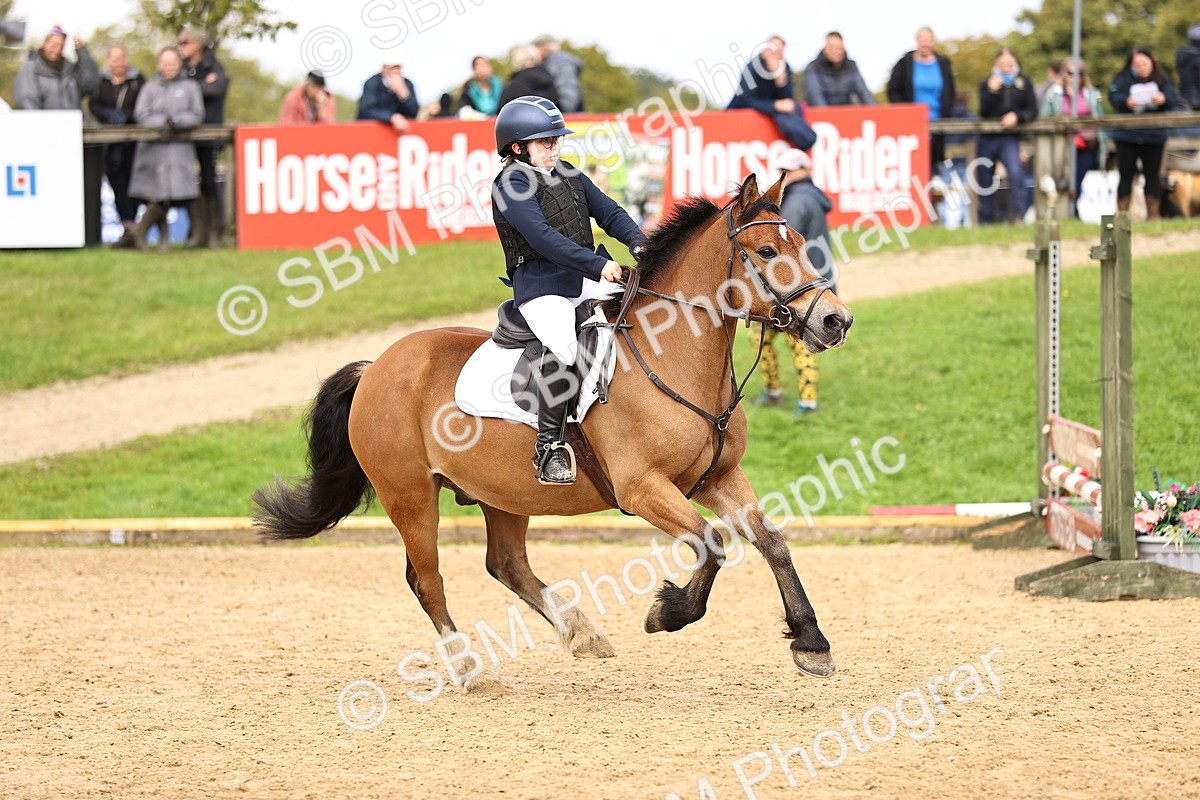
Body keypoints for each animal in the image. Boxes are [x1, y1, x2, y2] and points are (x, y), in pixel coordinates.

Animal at [253, 173, 854, 689]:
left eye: (802, 243)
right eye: (767, 252)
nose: (836, 321)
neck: (676, 354)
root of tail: (376, 367)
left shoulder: (718, 477)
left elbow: (772, 542)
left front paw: (811, 643)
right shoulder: (643, 489)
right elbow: (712, 543)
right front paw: (668, 613)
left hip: (502, 493)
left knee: (507, 565)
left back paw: (581, 633)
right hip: (411, 496)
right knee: (428, 581)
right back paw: (470, 669)